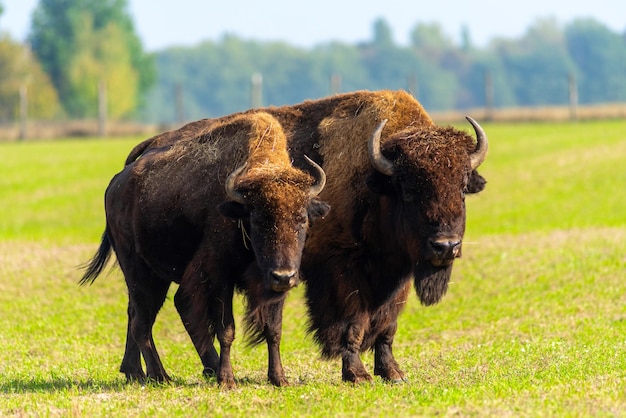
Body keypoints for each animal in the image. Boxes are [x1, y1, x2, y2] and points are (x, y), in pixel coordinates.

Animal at [80, 112, 330, 388]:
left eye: (302, 219)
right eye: (257, 220)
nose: (283, 275)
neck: (238, 208)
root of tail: (115, 184)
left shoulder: (273, 288)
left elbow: (273, 329)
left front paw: (279, 378)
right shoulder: (219, 277)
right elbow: (226, 329)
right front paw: (227, 380)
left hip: (152, 277)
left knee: (137, 315)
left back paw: (136, 372)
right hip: (139, 272)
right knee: (141, 322)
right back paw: (160, 376)